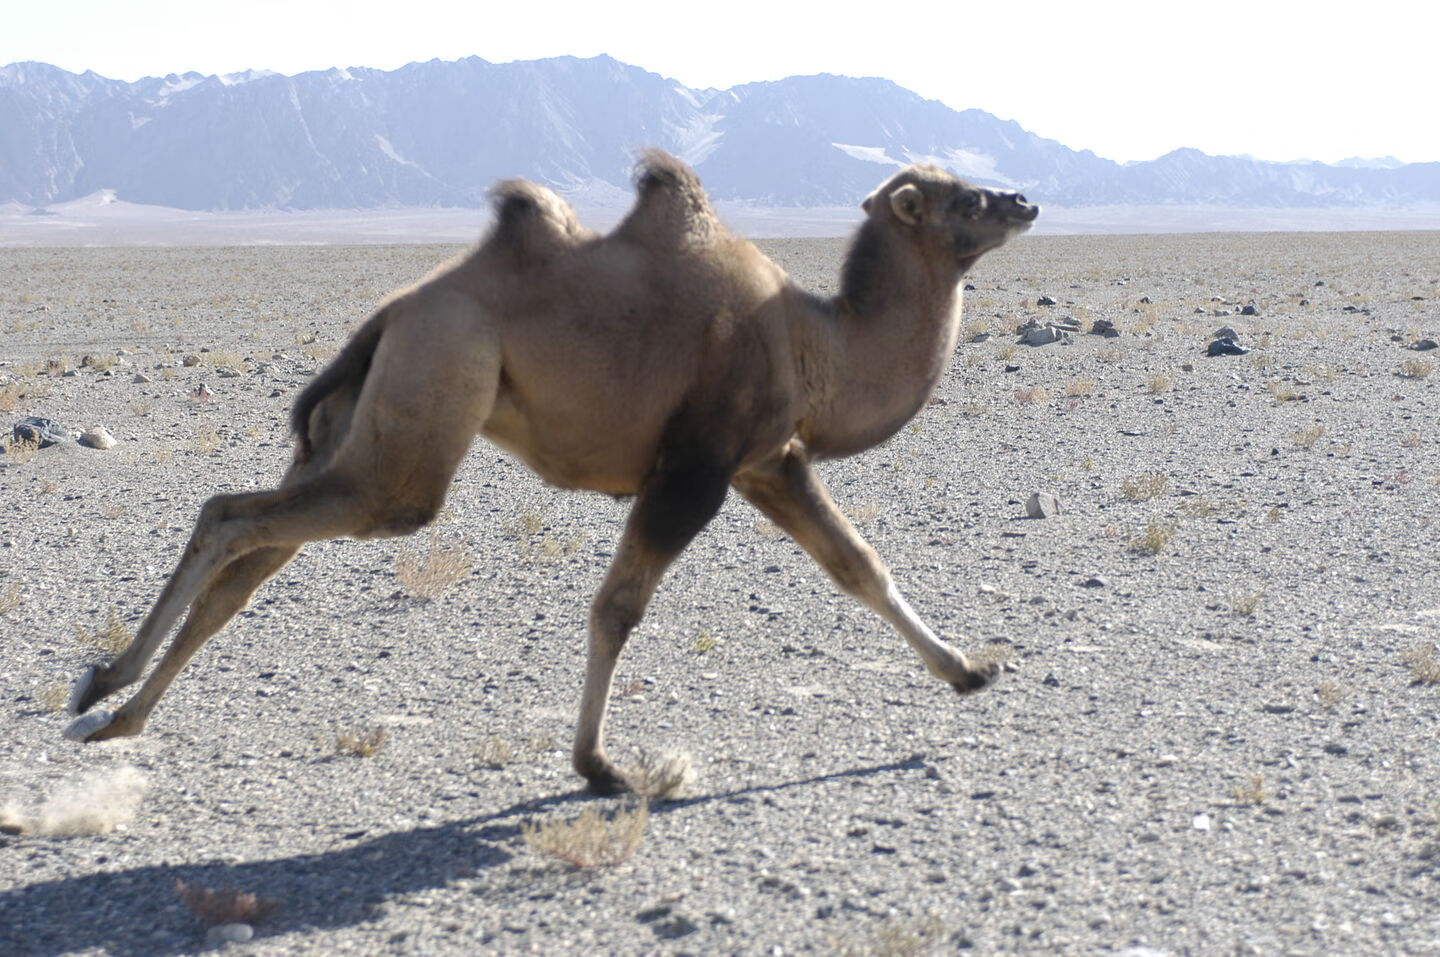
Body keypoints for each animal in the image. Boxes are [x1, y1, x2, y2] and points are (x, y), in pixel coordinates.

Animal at [64, 151, 1036, 788]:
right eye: (963, 197)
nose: (1025, 197)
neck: (817, 340)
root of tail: (388, 317)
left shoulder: (768, 461)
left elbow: (859, 565)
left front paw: (969, 671)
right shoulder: (696, 465)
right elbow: (618, 606)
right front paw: (599, 764)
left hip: (360, 423)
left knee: (246, 541)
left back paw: (113, 696)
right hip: (425, 409)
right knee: (244, 519)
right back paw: (115, 698)